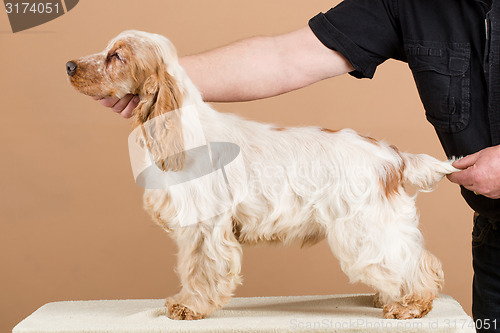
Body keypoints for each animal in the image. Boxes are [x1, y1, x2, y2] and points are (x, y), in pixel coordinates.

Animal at [66, 30, 458, 320]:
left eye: (117, 56)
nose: (69, 64)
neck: (183, 128)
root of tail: (392, 155)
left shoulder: (205, 224)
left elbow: (200, 268)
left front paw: (189, 306)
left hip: (365, 227)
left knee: (416, 263)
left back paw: (410, 304)